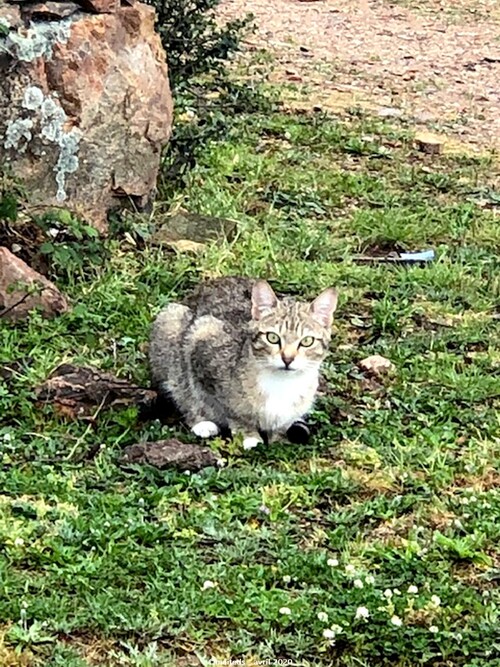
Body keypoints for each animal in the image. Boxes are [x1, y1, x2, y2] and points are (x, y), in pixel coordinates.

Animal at [147, 274, 336, 452]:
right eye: (272, 337)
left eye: (307, 341)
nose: (287, 359)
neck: (281, 383)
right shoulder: (201, 341)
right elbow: (229, 408)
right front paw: (249, 435)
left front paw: (279, 438)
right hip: (170, 322)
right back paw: (201, 423)